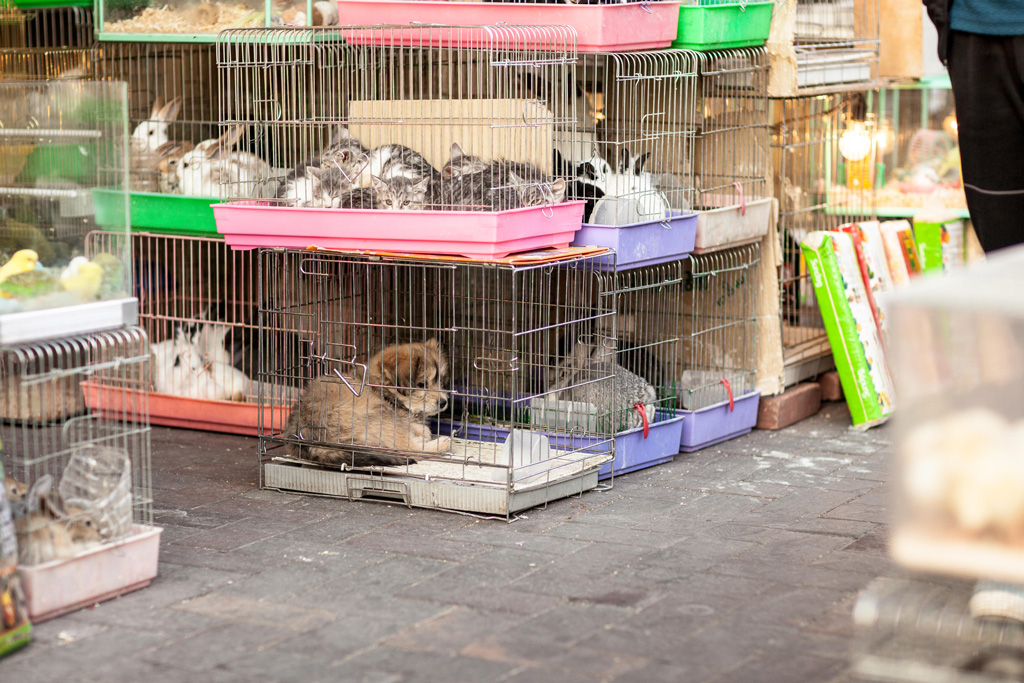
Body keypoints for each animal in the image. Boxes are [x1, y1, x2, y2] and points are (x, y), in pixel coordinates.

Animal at [284, 339, 452, 466]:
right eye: (421, 384)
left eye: (441, 381)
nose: (443, 402)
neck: (381, 389)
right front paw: (423, 431)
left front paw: (420, 429)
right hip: (380, 417)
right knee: (409, 449)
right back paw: (443, 442)